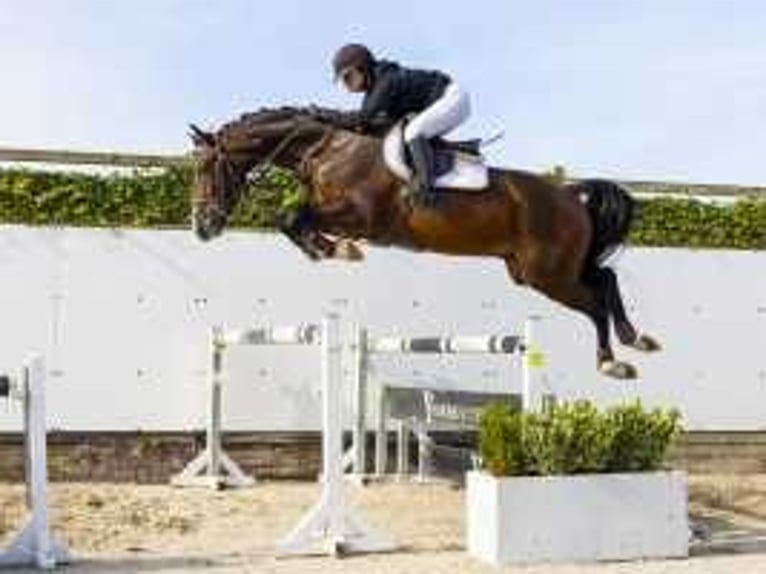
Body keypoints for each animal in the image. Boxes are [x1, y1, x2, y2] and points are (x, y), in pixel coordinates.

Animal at [189, 107, 664, 382]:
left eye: (207, 168)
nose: (202, 227)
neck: (324, 149)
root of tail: (569, 194)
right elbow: (292, 219)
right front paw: (327, 248)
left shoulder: (362, 217)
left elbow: (291, 217)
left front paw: (335, 249)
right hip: (537, 270)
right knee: (605, 277)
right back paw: (636, 338)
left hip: (548, 274)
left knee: (595, 301)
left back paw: (612, 362)